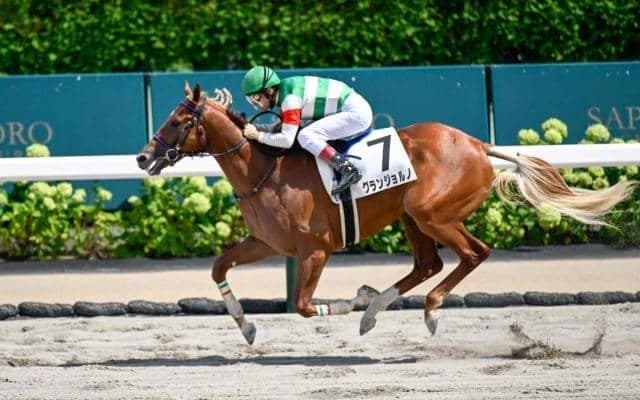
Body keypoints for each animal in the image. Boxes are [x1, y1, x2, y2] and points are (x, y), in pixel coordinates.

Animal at [136, 82, 636, 344]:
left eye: (179, 120)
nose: (144, 157)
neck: (263, 170)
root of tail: (477, 144)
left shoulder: (316, 250)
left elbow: (304, 306)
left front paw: (355, 299)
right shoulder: (266, 242)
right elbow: (219, 267)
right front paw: (247, 326)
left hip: (433, 213)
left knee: (473, 254)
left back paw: (425, 310)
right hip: (412, 217)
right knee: (428, 264)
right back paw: (377, 310)